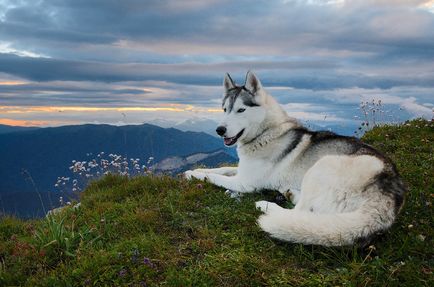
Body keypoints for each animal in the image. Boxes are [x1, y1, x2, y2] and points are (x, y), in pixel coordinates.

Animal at [184, 72, 406, 248]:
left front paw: (194, 174)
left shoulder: (245, 183)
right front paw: (192, 172)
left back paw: (266, 206)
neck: (265, 132)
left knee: (300, 213)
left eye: (241, 110)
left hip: (321, 166)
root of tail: (388, 195)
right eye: (224, 109)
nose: (219, 130)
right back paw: (290, 193)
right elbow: (220, 169)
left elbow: (215, 177)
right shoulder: (241, 171)